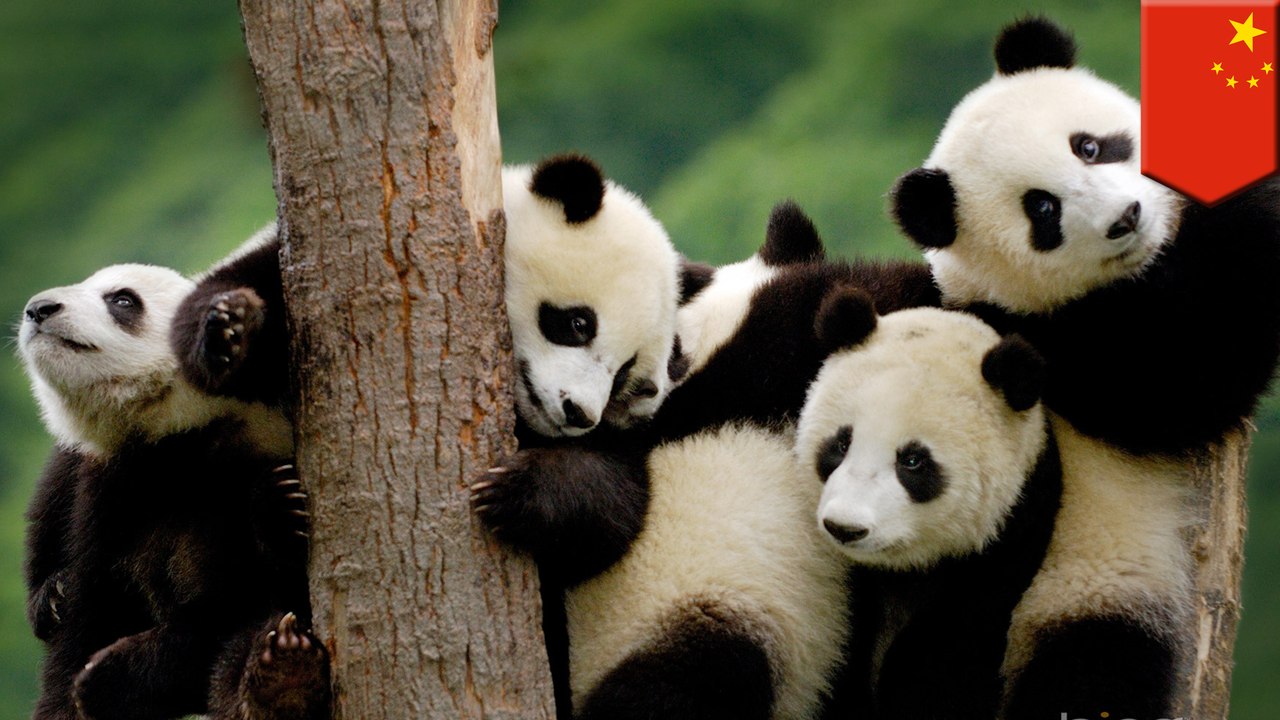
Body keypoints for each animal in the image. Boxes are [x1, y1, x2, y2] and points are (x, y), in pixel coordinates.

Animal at [19, 262, 328, 720]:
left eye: (123, 300)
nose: (39, 308)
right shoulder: (109, 489)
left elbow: (237, 600)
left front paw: (280, 509)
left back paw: (281, 677)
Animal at [794, 294, 1061, 719]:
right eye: (839, 444)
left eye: (913, 461)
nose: (845, 528)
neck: (904, 569)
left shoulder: (1012, 531)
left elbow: (950, 652)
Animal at [888, 16, 1280, 717]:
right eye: (1042, 209)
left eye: (1089, 147)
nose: (1126, 218)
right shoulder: (1052, 344)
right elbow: (1190, 375)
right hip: (1086, 585)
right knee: (1091, 670)